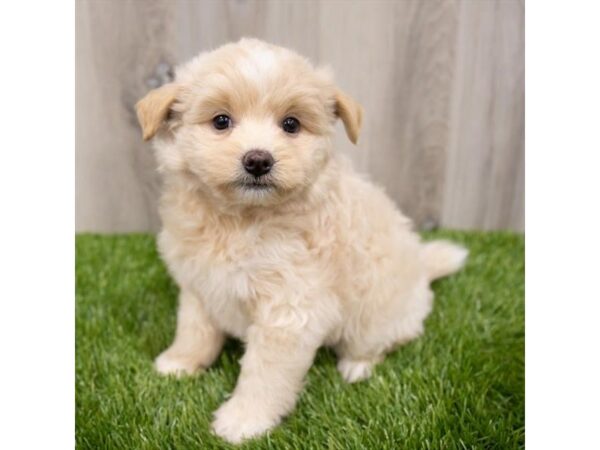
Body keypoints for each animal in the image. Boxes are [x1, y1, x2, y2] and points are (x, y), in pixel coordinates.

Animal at [136, 37, 468, 442]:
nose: (258, 160)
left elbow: (264, 374)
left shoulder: (289, 311)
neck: (240, 220)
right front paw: (180, 363)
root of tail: (423, 270)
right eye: (221, 121)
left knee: (380, 342)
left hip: (376, 316)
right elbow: (194, 330)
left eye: (291, 124)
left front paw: (243, 421)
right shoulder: (200, 286)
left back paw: (356, 366)